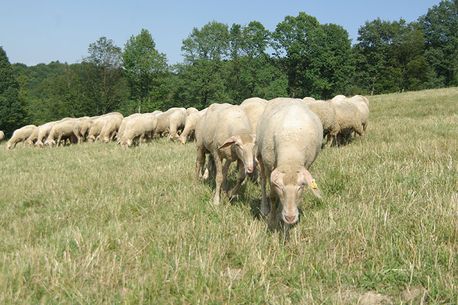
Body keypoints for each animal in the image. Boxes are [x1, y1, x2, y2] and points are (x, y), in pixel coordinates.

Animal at [256, 98, 324, 227]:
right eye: (280, 187)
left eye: (301, 186)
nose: (290, 217)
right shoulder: (269, 166)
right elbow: (273, 196)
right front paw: (272, 221)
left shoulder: (306, 164)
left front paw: (284, 222)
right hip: (260, 155)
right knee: (262, 181)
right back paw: (264, 209)